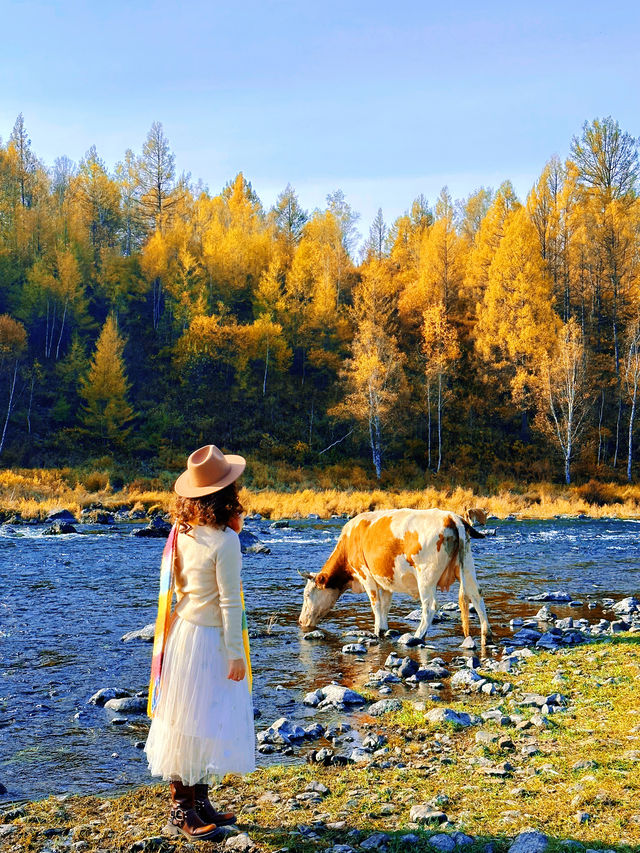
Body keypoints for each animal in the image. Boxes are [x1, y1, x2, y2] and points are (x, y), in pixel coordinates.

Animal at [298, 510, 492, 644]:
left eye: (307, 595)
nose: (300, 621)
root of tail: (451, 517)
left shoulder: (365, 574)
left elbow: (375, 604)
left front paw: (377, 630)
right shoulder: (385, 580)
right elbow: (385, 605)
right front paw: (383, 629)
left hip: (426, 575)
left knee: (430, 606)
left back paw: (418, 636)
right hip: (467, 567)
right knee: (476, 595)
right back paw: (486, 635)